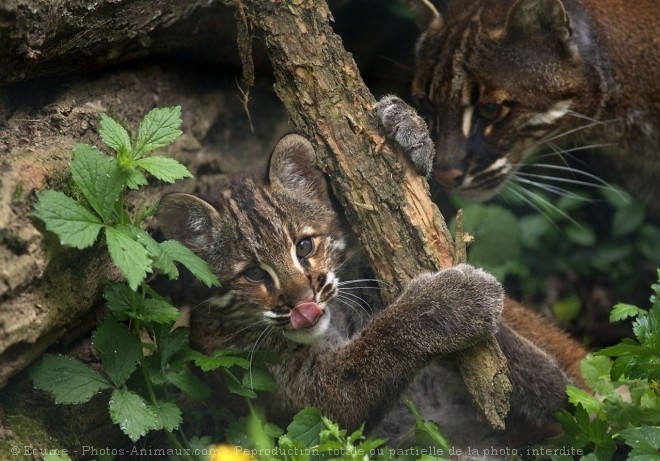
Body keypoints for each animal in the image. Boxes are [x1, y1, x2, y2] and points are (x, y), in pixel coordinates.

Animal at [157, 133, 584, 452]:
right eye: (254, 274)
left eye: (304, 247)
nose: (302, 304)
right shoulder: (305, 399)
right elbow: (378, 347)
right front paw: (451, 302)